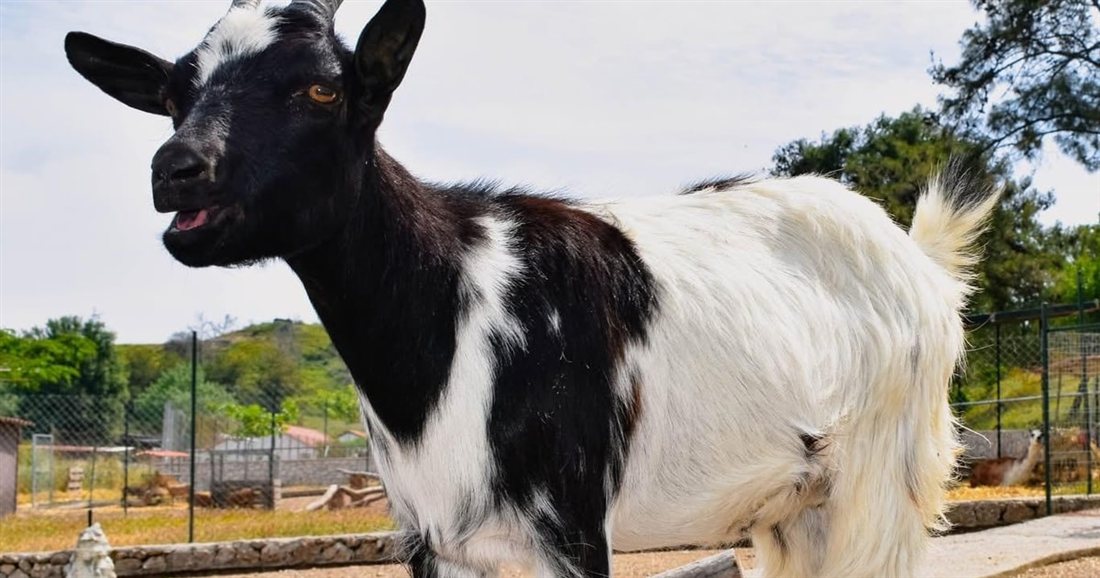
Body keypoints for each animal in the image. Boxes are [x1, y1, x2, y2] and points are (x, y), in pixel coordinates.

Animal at [65, 1, 999, 576]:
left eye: (323, 86)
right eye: (176, 93)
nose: (176, 170)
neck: (450, 311)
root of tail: (920, 263)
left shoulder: (573, 520)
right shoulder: (431, 536)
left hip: (882, 480)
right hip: (791, 504)